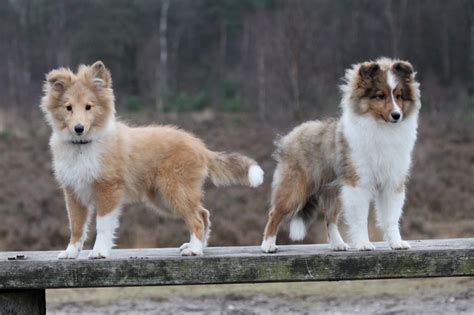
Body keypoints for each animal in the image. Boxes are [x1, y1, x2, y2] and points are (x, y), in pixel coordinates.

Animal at [39, 61, 264, 260]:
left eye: (88, 107)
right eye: (68, 107)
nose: (78, 128)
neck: (82, 146)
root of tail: (200, 147)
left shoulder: (107, 189)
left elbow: (102, 226)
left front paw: (99, 252)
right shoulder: (73, 192)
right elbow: (76, 226)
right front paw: (70, 252)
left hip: (174, 190)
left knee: (197, 219)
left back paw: (194, 250)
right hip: (163, 197)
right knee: (203, 213)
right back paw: (197, 247)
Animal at [262, 57, 420, 254]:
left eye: (399, 96)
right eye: (380, 95)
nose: (396, 115)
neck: (381, 128)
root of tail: (290, 136)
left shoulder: (392, 183)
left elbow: (391, 218)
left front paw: (397, 243)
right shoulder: (358, 183)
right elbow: (360, 218)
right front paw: (364, 244)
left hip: (334, 191)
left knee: (329, 219)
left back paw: (337, 244)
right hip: (294, 188)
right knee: (274, 213)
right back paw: (268, 245)